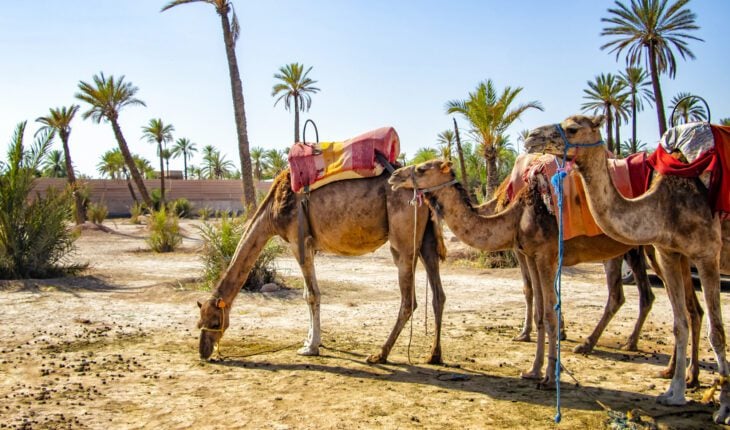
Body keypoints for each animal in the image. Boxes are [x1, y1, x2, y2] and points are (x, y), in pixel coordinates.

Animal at [199, 170, 450, 364]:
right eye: (199, 322)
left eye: (215, 321)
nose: (203, 351)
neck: (272, 211)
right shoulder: (309, 246)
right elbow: (306, 294)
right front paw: (310, 340)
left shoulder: (298, 242)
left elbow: (312, 295)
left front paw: (310, 347)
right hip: (426, 236)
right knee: (438, 294)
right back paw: (434, 355)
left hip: (404, 237)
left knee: (409, 300)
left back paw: (380, 354)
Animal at [390, 158, 704, 386]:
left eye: (422, 168)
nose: (395, 177)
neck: (515, 214)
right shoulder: (530, 254)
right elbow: (541, 312)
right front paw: (533, 370)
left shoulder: (546, 255)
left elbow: (550, 313)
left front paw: (551, 374)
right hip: (660, 250)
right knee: (685, 306)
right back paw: (677, 371)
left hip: (660, 248)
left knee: (677, 305)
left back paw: (679, 373)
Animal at [524, 115, 728, 426]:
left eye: (573, 128)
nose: (531, 136)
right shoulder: (669, 252)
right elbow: (678, 323)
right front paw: (674, 394)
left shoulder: (707, 254)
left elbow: (717, 332)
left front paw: (723, 410)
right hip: (661, 257)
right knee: (688, 310)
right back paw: (682, 374)